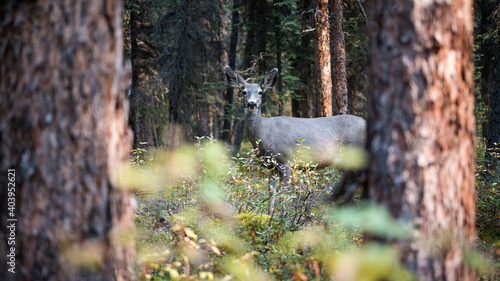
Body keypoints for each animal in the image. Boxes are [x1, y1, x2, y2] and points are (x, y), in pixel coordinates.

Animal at [225, 65, 366, 213]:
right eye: (243, 92)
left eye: (260, 92)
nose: (251, 104)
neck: (265, 134)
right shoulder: (271, 166)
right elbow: (271, 193)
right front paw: (270, 215)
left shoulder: (286, 161)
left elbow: (283, 194)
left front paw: (281, 216)